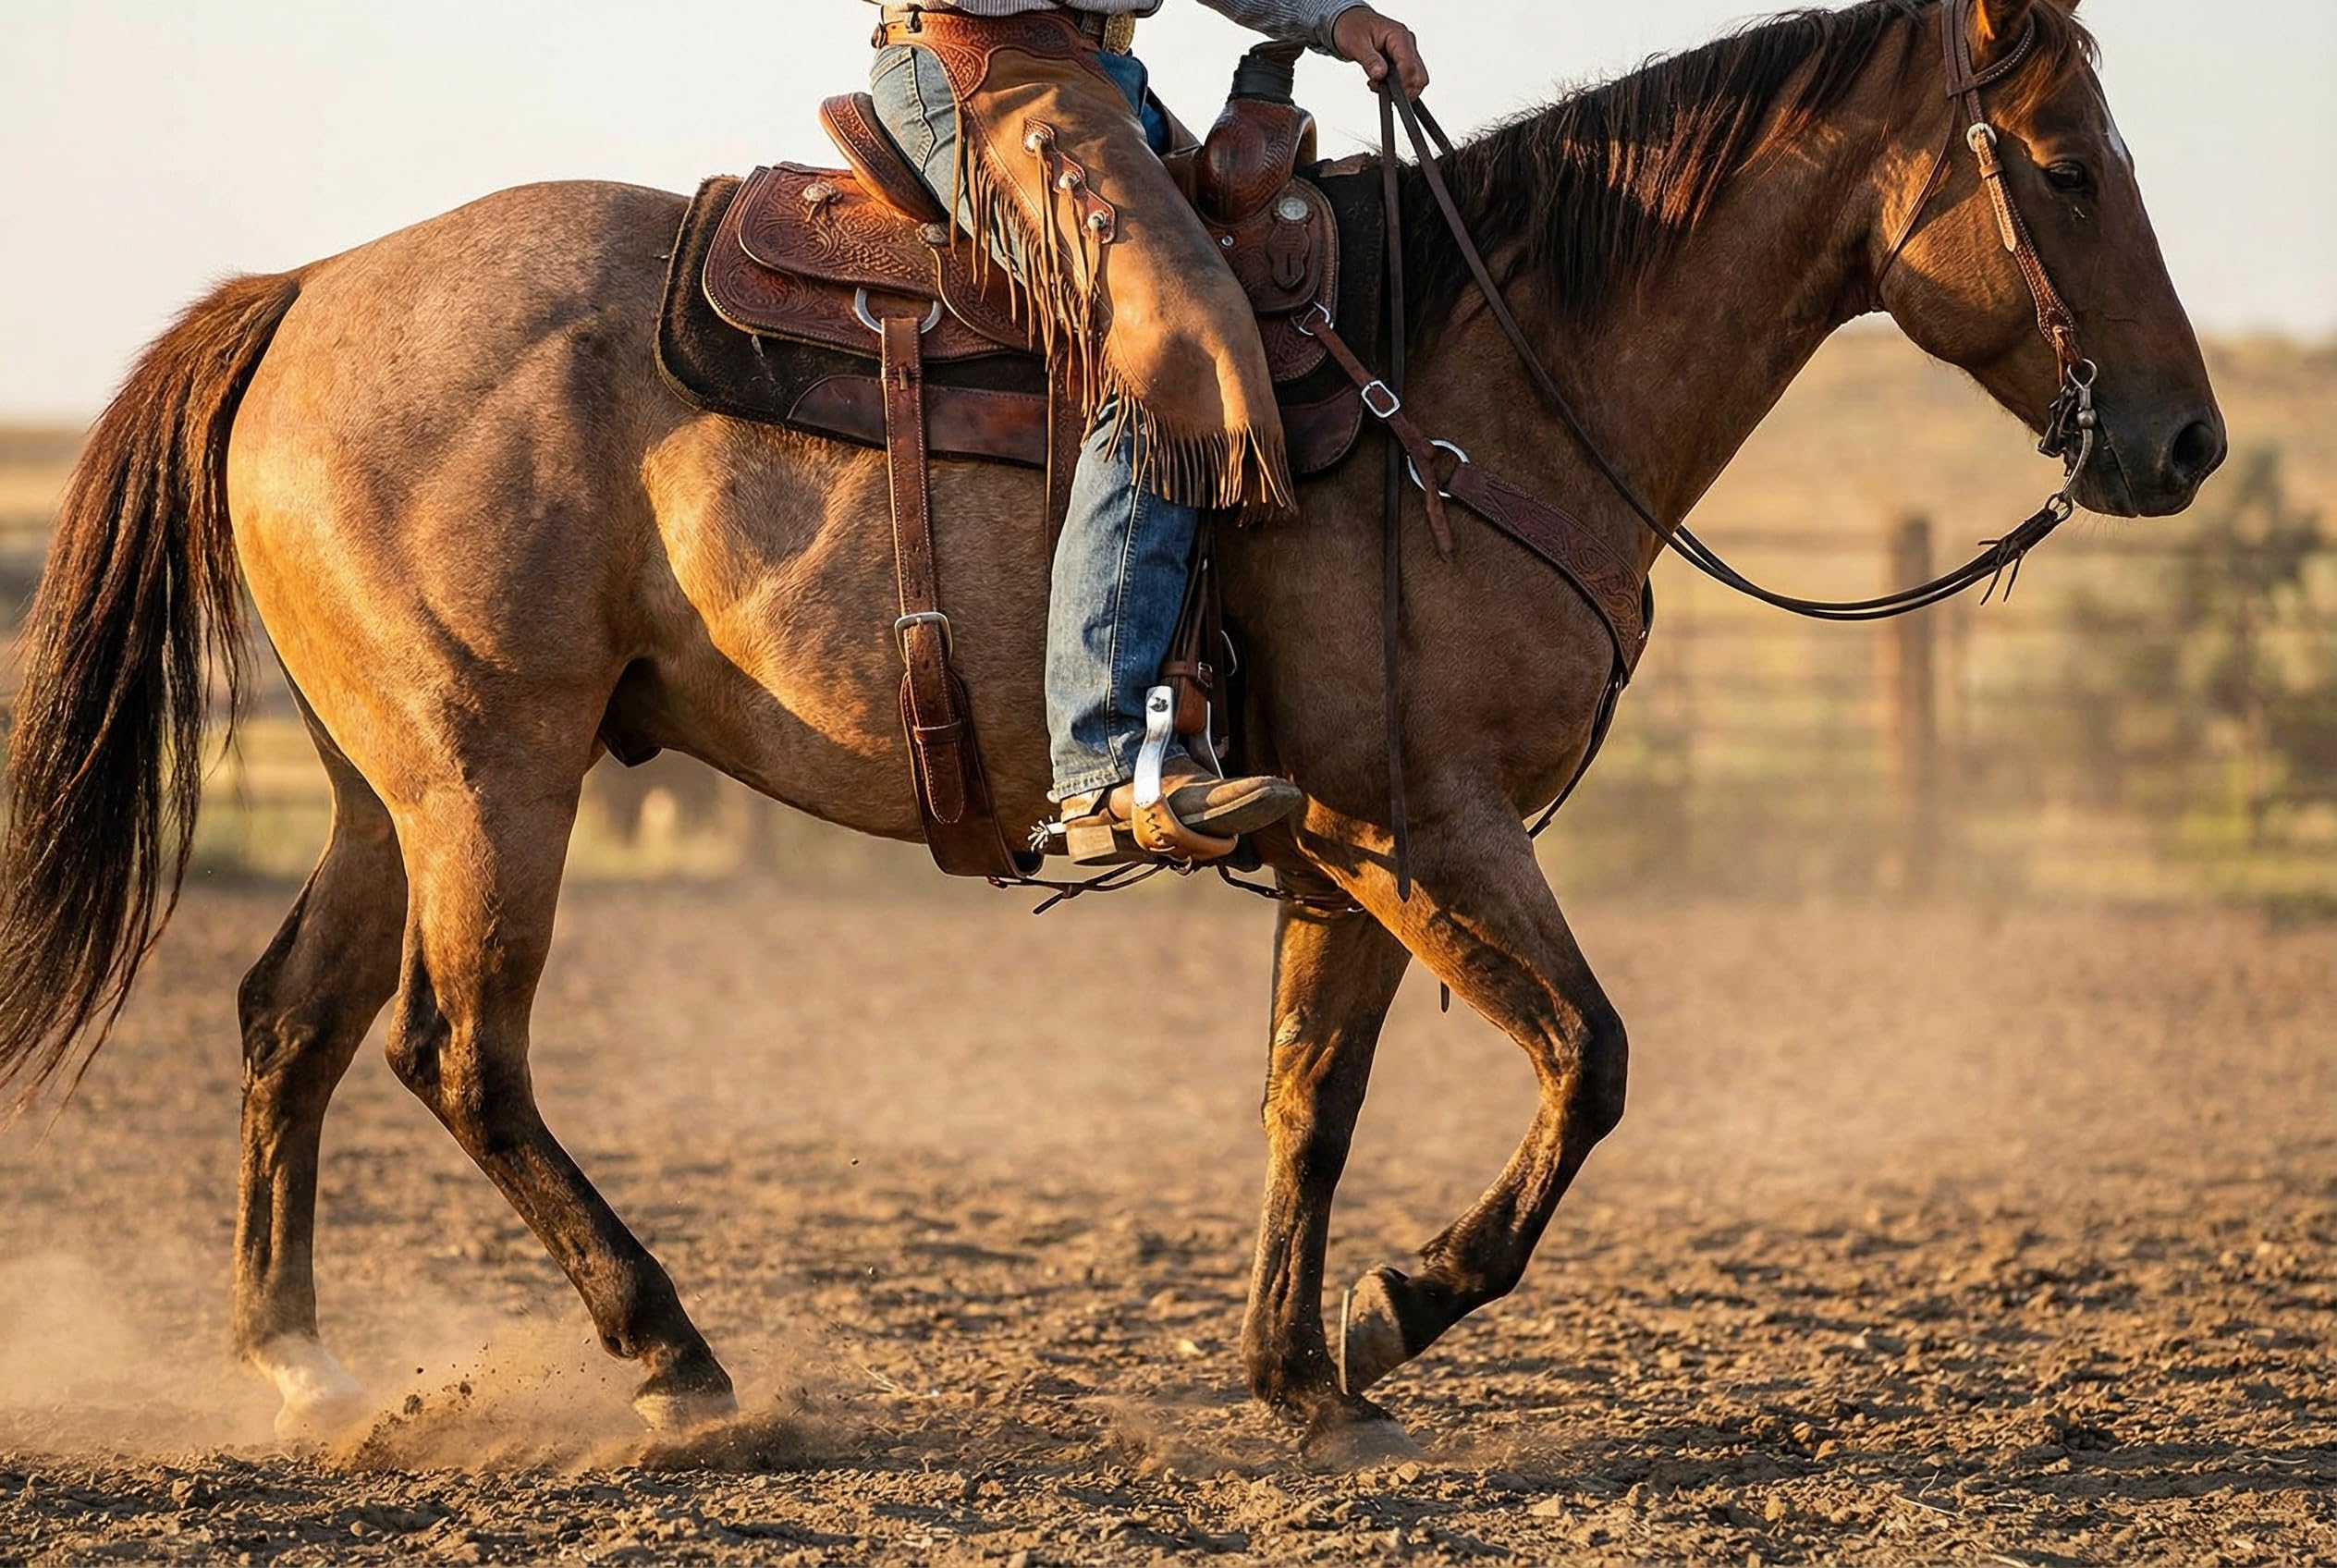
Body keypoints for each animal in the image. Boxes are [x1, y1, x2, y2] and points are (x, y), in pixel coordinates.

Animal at [0, 0, 2222, 1449]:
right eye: (2061, 165)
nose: (2183, 441)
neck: (1478, 379)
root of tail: (309, 288)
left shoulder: (1343, 849)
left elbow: (1309, 1099)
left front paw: (1302, 1378)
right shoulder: (1433, 826)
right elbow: (1588, 1062)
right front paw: (1401, 1311)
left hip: (391, 782)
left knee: (285, 1018)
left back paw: (301, 1368)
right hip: (490, 771)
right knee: (455, 1051)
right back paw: (674, 1358)